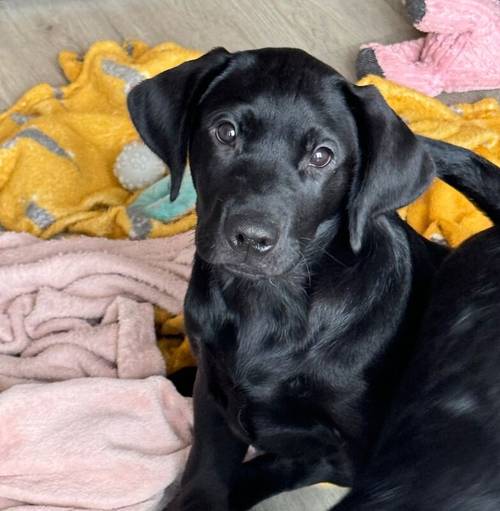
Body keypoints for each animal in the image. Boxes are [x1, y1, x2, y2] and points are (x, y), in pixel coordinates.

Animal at [128, 47, 496, 508]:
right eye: (225, 132)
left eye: (322, 155)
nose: (251, 237)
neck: (270, 304)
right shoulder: (214, 397)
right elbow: (207, 472)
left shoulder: (356, 449)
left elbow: (287, 465)